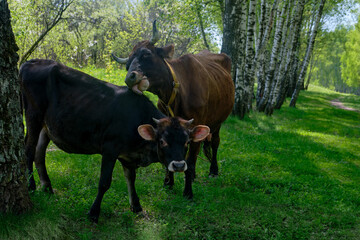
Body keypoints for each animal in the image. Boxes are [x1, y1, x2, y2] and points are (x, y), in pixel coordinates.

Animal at [19, 59, 210, 223]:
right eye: (162, 141)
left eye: (186, 142)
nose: (178, 165)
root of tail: (30, 62)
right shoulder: (110, 149)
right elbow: (104, 182)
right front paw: (94, 213)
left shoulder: (128, 156)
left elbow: (131, 178)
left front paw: (136, 206)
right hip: (33, 115)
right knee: (28, 149)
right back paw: (31, 185)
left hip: (46, 126)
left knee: (39, 153)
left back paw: (47, 187)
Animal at [113, 21, 236, 199]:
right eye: (127, 64)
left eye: (146, 54)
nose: (130, 78)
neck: (176, 93)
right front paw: (168, 182)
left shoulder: (196, 125)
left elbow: (190, 161)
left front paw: (187, 191)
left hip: (218, 121)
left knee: (214, 143)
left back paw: (213, 170)